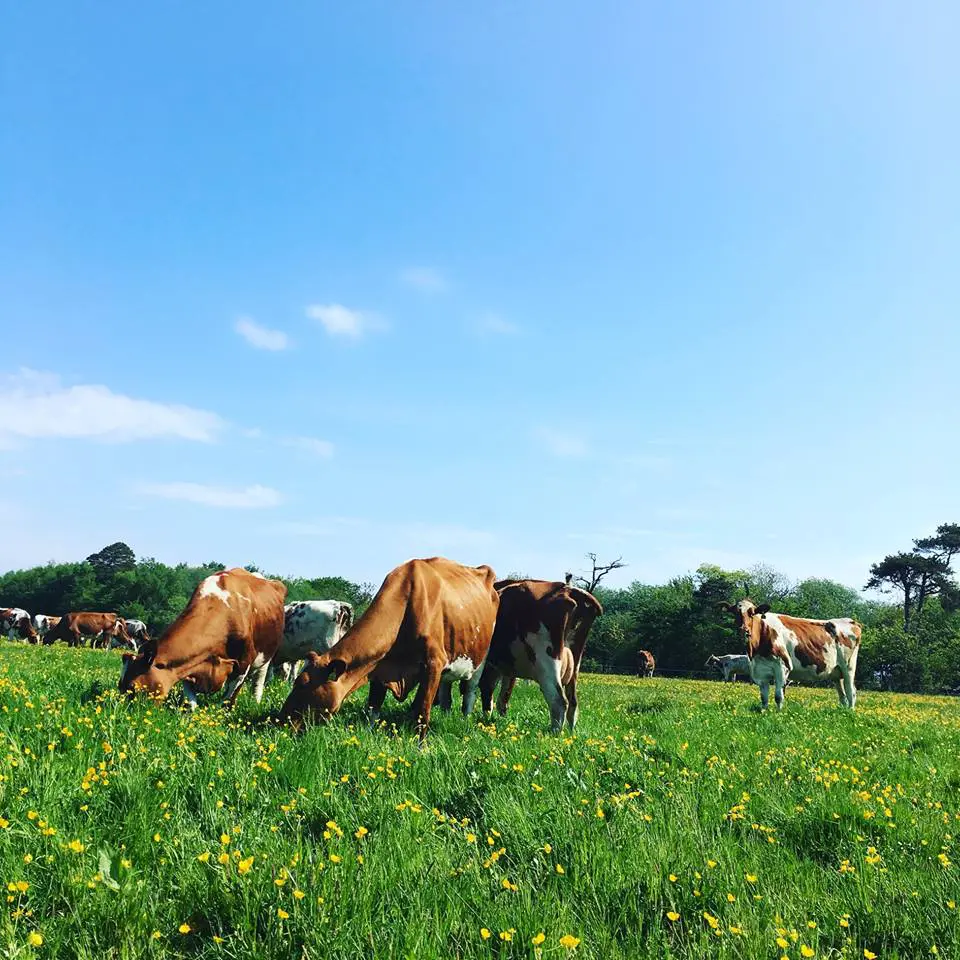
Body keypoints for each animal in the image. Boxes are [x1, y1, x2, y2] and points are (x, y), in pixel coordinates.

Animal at [118, 568, 286, 708]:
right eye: (119, 685)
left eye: (132, 686)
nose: (121, 711)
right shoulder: (186, 666)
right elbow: (191, 702)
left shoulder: (244, 664)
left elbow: (229, 698)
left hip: (266, 656)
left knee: (258, 680)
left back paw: (256, 701)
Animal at [278, 556, 498, 744]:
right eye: (295, 683)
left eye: (304, 687)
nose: (280, 721)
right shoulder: (379, 665)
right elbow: (373, 708)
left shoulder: (433, 664)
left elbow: (423, 711)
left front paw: (421, 748)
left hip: (480, 659)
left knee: (469, 693)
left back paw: (464, 721)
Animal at [478, 580, 604, 732]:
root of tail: (568, 589)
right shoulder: (507, 668)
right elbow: (503, 697)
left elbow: (485, 691)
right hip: (574, 664)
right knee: (573, 703)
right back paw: (570, 733)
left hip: (547, 662)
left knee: (559, 701)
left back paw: (554, 733)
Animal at [720, 600, 864, 712]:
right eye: (735, 613)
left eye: (752, 612)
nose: (744, 630)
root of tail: (852, 622)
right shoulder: (760, 670)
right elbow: (764, 697)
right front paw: (764, 711)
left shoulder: (782, 667)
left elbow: (778, 695)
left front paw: (778, 713)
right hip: (836, 672)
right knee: (842, 694)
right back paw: (843, 711)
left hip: (848, 667)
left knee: (851, 691)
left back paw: (850, 712)